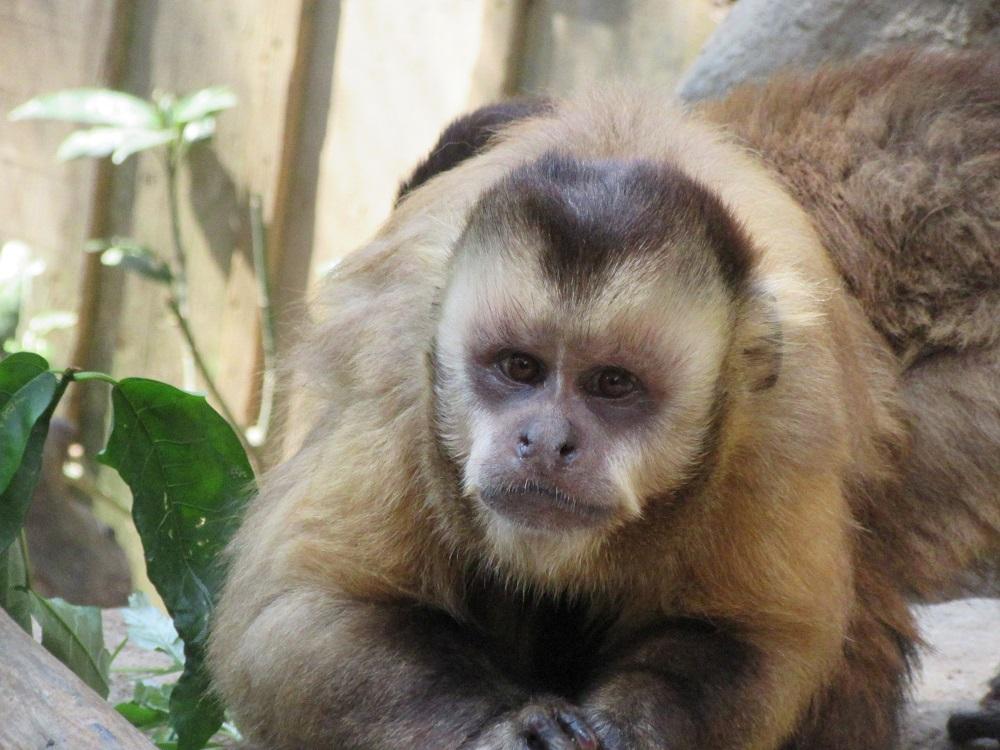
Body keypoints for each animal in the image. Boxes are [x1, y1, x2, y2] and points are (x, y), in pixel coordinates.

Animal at [207, 50, 996, 748]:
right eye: (517, 368)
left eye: (613, 384)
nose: (545, 442)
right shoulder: (395, 376)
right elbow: (302, 615)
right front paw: (506, 727)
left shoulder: (782, 412)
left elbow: (753, 637)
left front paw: (634, 727)